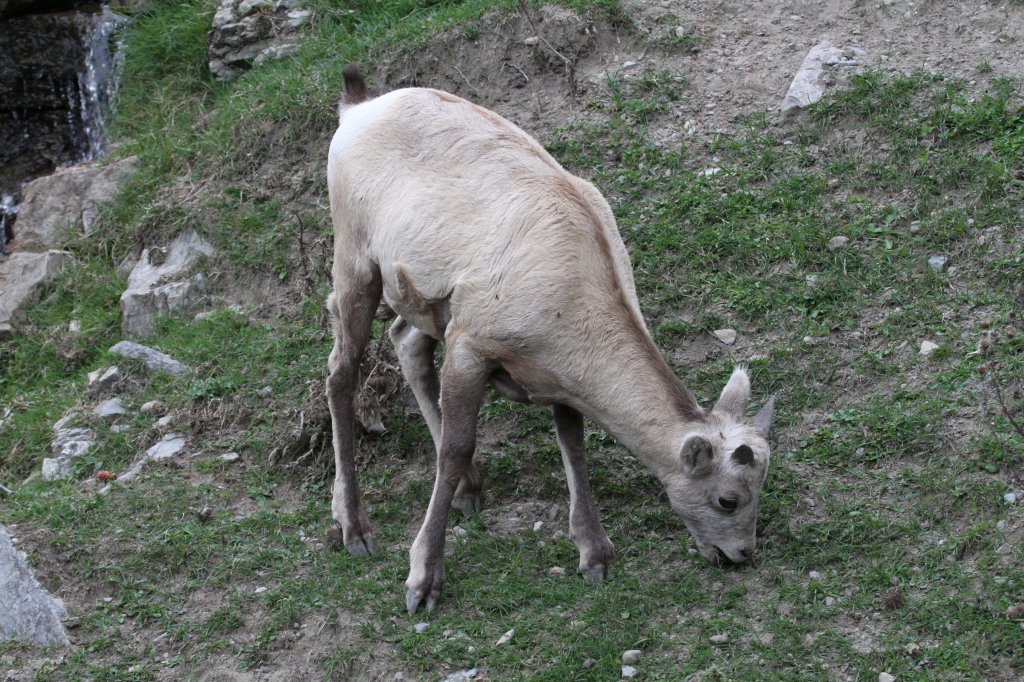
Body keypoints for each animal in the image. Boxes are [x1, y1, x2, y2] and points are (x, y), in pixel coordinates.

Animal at [323, 66, 770, 614]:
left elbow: (572, 444)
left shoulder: (556, 374)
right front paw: (422, 581)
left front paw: (594, 555)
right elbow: (455, 448)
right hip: (355, 258)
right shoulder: (471, 344)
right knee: (341, 369)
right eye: (728, 499)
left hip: (425, 302)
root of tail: (355, 108)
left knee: (405, 338)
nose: (740, 554)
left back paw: (470, 488)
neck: (578, 291)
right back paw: (355, 527)